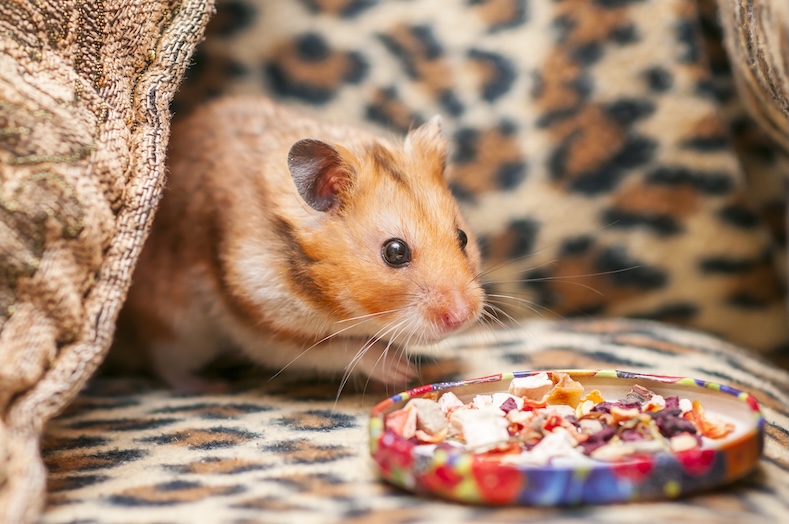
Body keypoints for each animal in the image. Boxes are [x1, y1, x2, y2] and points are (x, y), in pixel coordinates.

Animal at [114, 96, 485, 393]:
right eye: (395, 252)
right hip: (177, 329)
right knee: (166, 364)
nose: (462, 317)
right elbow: (338, 350)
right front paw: (401, 370)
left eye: (463, 237)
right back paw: (209, 386)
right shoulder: (257, 319)